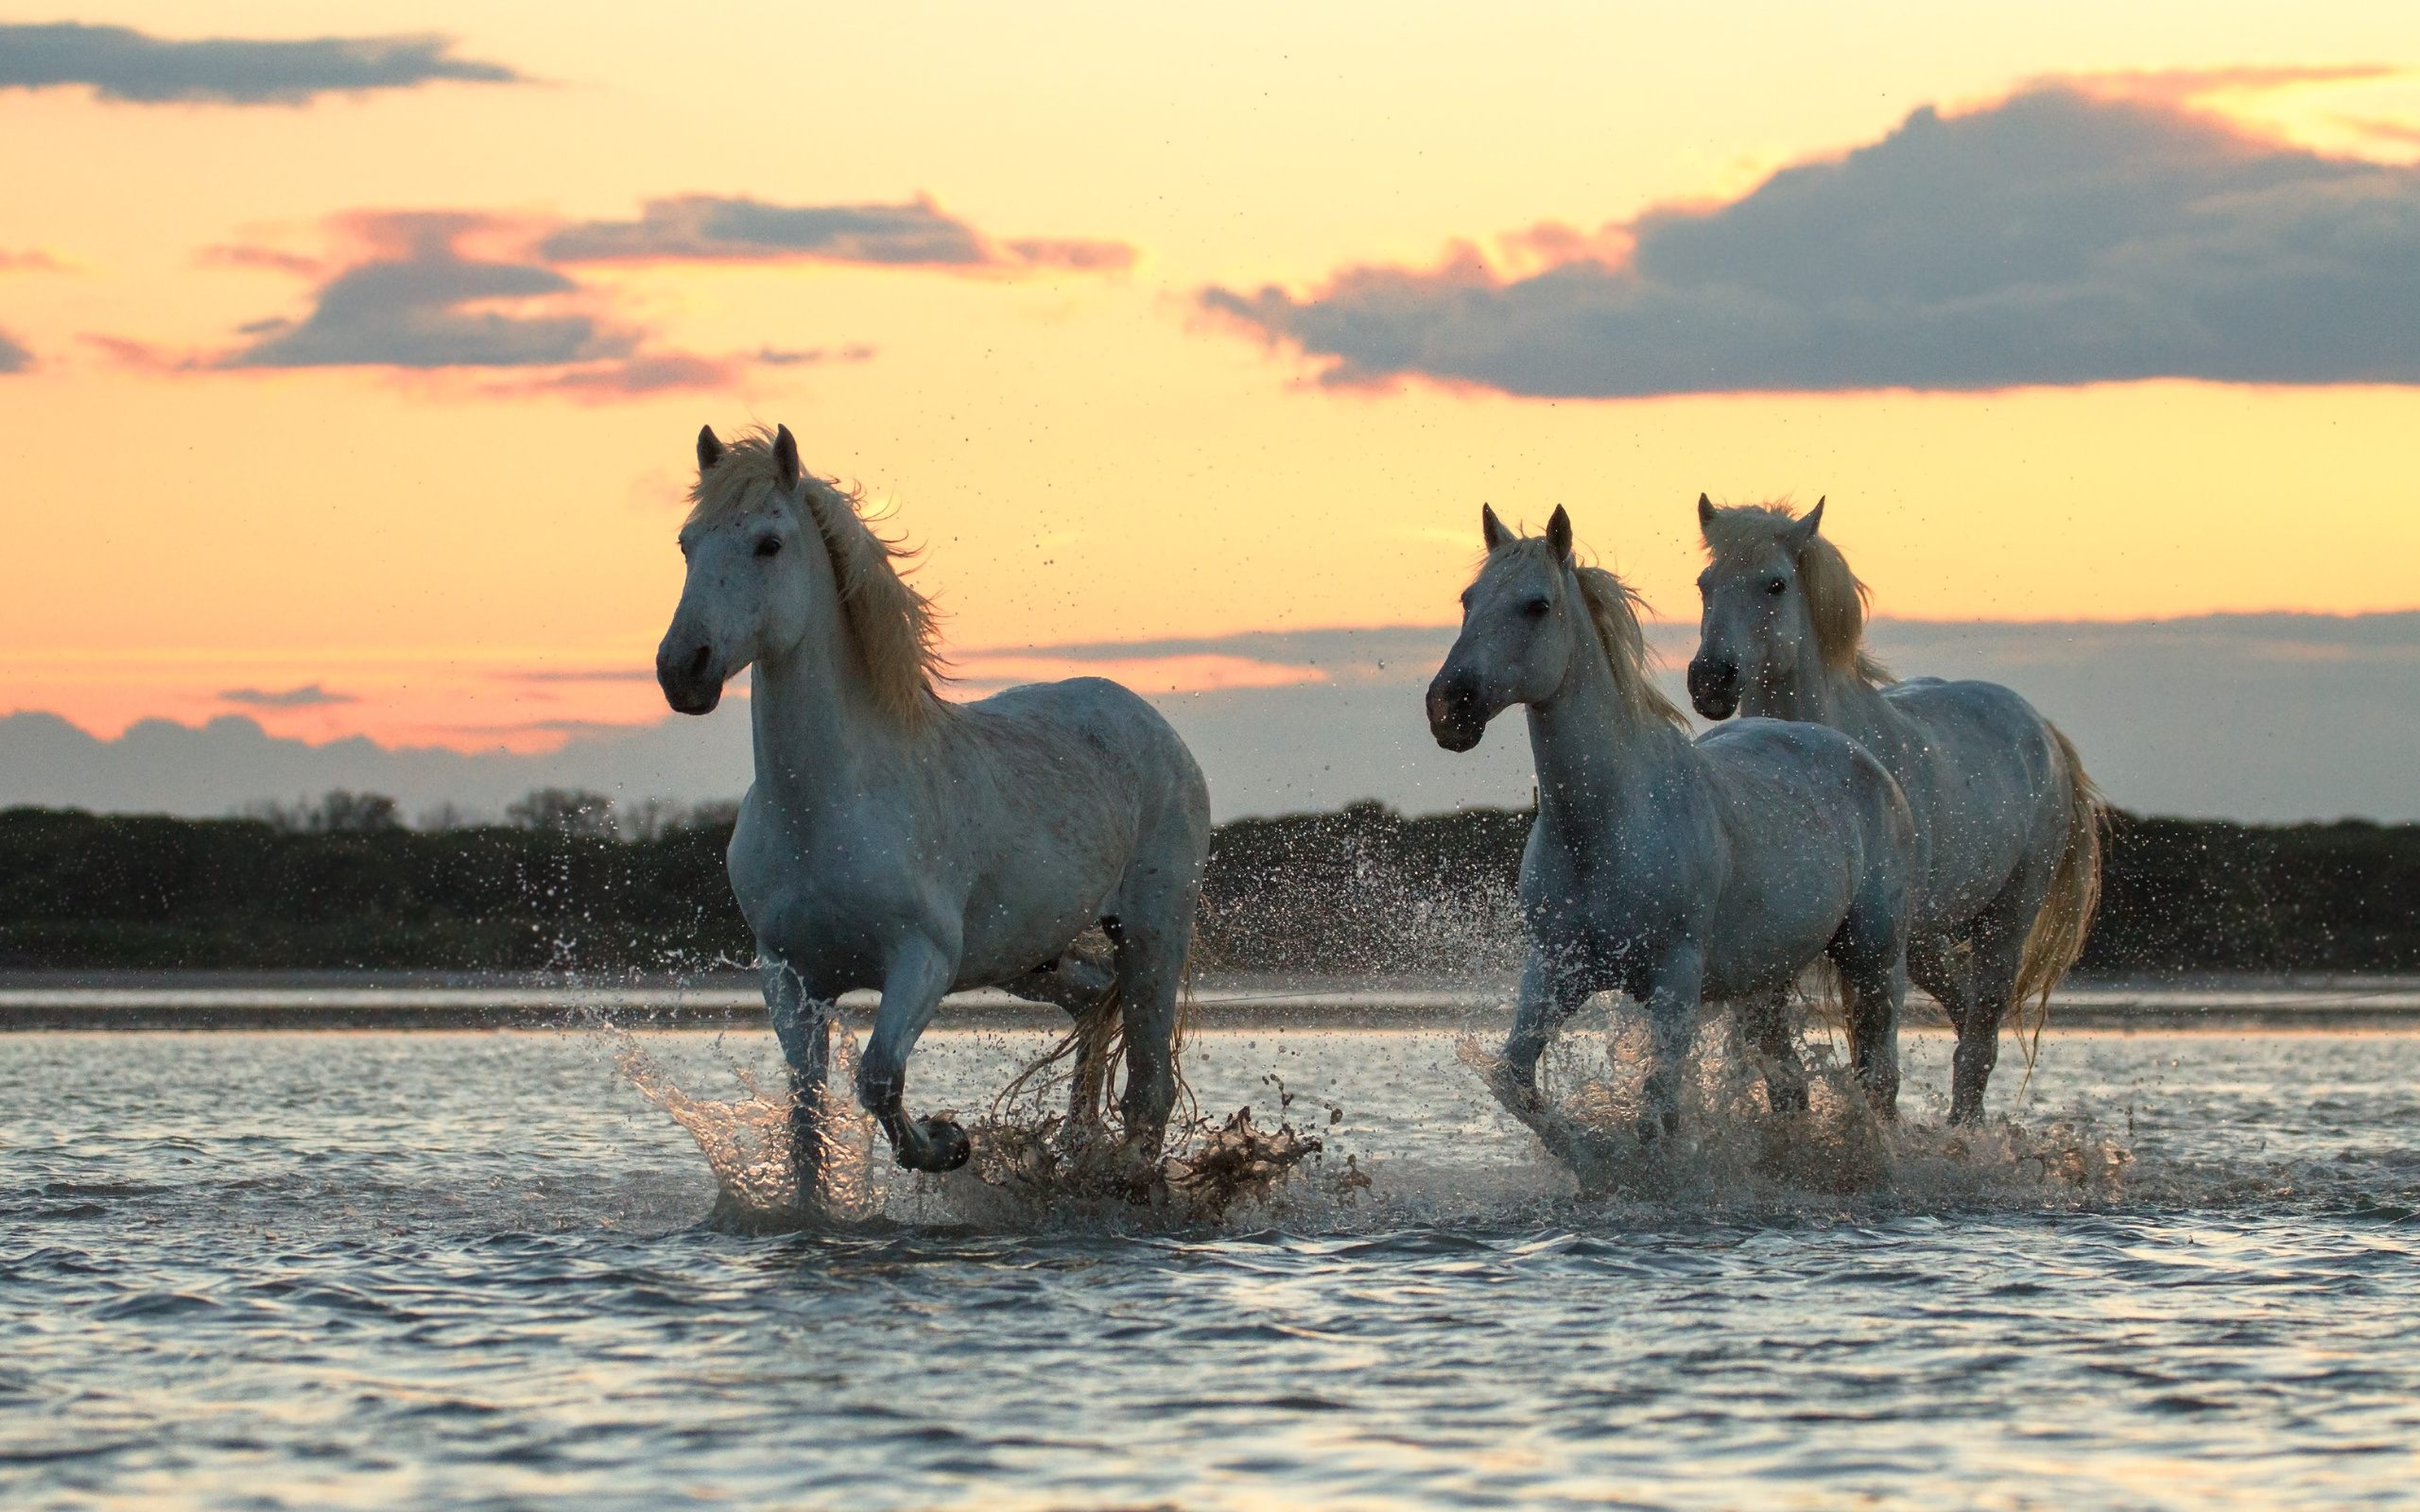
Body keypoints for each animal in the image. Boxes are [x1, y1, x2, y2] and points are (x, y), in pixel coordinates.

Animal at [655, 423, 1212, 1176]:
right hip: (1031, 957)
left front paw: (948, 1142)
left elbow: (879, 1078)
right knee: (1095, 1005)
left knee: (1148, 1090)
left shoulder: (922, 963)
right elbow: (807, 1116)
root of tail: (1154, 727)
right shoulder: (790, 976)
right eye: (688, 543)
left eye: (769, 543)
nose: (682, 669)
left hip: (1154, 933)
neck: (825, 811)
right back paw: (1074, 1146)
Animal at [1426, 505, 1916, 1147]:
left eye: (1536, 605)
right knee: (1791, 1086)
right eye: (1468, 599)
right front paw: (1585, 1154)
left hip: (1873, 961)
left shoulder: (1675, 983)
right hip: (1764, 985)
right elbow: (1514, 1083)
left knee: (1879, 1084)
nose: (1447, 706)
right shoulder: (1555, 969)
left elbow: (1656, 1115)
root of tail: (1867, 763)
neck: (1605, 827)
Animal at [1688, 496, 2103, 1124]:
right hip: (1925, 941)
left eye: (1775, 584)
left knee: (1978, 1041)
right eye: (1704, 584)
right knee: (1965, 1014)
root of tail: (2043, 733)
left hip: (2005, 919)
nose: (1711, 680)